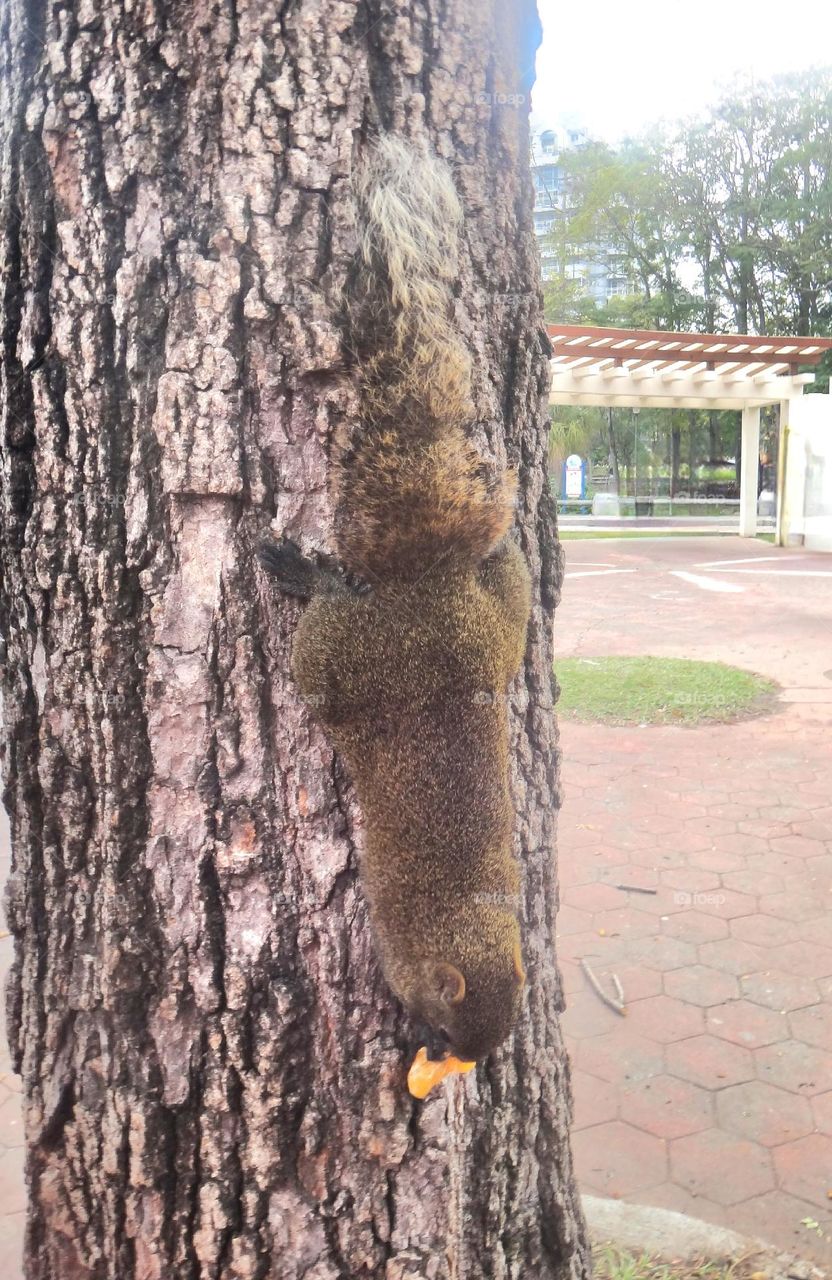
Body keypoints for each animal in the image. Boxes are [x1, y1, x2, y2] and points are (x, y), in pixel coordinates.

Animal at [261, 135, 532, 1064]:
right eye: (445, 1026)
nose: (441, 1059)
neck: (465, 919)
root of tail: (429, 586)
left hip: (487, 629)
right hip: (337, 661)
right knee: (321, 632)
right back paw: (306, 573)